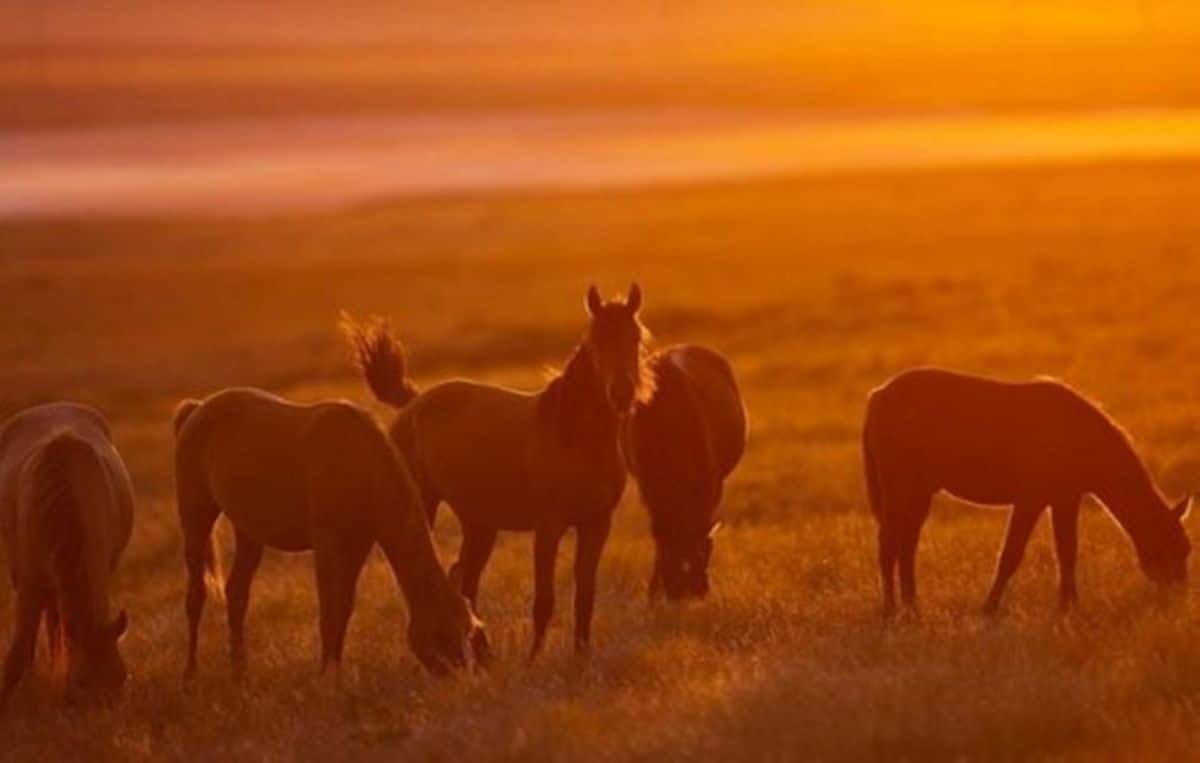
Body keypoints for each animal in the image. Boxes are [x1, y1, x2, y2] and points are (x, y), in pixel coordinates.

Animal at [0, 405, 133, 710]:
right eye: (81, 681)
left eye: (121, 677)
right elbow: (18, 653)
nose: (103, 715)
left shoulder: (99, 572)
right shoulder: (29, 584)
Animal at [174, 391, 482, 676]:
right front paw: (326, 676)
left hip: (249, 531)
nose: (461, 678)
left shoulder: (357, 545)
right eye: (441, 633)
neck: (360, 466)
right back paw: (190, 673)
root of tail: (197, 409)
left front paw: (334, 668)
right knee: (196, 595)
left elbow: (343, 608)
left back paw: (239, 671)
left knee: (237, 593)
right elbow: (328, 611)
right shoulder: (327, 545)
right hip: (196, 519)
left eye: (468, 630)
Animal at [343, 285, 652, 657]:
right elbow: (544, 600)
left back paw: (481, 651)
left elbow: (585, 596)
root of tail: (413, 403)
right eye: (595, 340)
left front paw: (581, 656)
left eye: (635, 338)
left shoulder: (597, 524)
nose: (621, 394)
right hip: (427, 505)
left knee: (463, 577)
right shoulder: (548, 526)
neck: (573, 437)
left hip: (480, 524)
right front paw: (533, 660)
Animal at [624, 345, 744, 602]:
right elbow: (658, 535)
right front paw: (653, 591)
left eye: (703, 555)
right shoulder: (648, 487)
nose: (687, 592)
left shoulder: (712, 482)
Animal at [864, 367, 1190, 619]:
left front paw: (1068, 609)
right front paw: (989, 609)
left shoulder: (1065, 498)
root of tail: (879, 395)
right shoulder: (1031, 499)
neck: (1081, 438)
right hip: (899, 485)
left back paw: (912, 608)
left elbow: (1067, 552)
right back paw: (891, 611)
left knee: (907, 544)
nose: (1178, 599)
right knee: (888, 543)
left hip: (921, 489)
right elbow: (1011, 554)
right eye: (1172, 548)